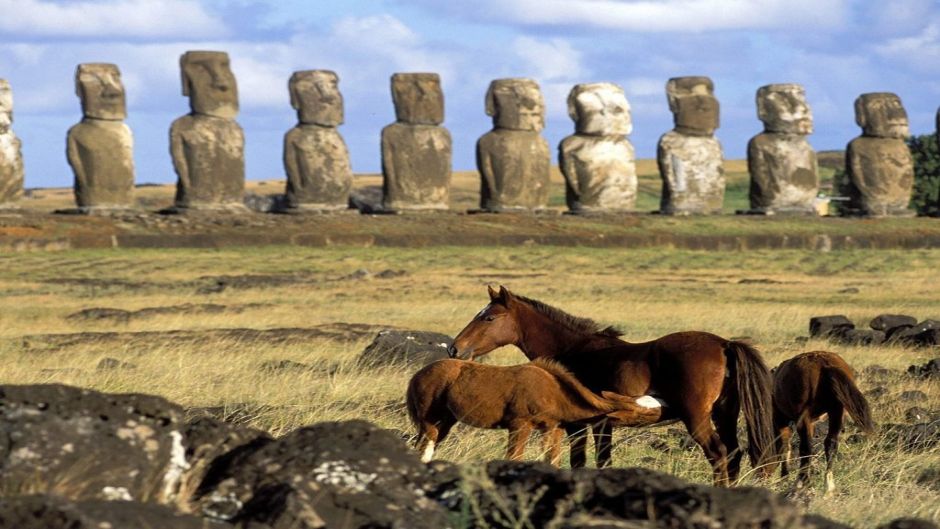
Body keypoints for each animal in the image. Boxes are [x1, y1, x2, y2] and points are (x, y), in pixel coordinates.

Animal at [404, 356, 660, 464]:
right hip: (429, 419)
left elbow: (552, 459)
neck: (553, 391)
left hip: (446, 421)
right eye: (645, 413)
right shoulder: (519, 425)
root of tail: (417, 376)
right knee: (425, 446)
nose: (665, 412)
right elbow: (514, 457)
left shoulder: (554, 428)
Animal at [452, 286, 776, 484]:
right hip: (725, 414)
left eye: (489, 317)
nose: (456, 348)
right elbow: (601, 461)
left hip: (697, 418)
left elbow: (581, 461)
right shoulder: (602, 424)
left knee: (718, 454)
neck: (573, 350)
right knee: (733, 455)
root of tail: (724, 344)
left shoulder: (579, 425)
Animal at [772, 350, 872, 490]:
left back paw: (803, 481)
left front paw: (785, 477)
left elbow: (785, 446)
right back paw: (828, 486)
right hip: (836, 411)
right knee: (831, 443)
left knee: (806, 447)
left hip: (804, 416)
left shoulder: (781, 419)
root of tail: (825, 364)